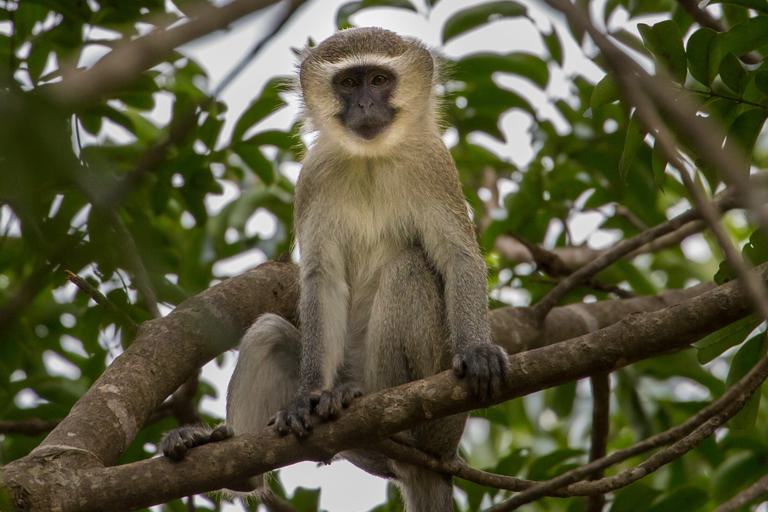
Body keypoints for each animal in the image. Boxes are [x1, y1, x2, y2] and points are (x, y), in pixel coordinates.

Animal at [161, 27, 509, 511]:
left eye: (379, 80)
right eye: (348, 83)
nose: (364, 106)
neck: (370, 159)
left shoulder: (435, 165)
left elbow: (458, 257)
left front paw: (477, 350)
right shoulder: (312, 177)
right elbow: (321, 279)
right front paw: (306, 399)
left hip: (439, 423)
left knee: (408, 271)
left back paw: (380, 409)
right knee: (268, 332)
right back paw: (244, 458)